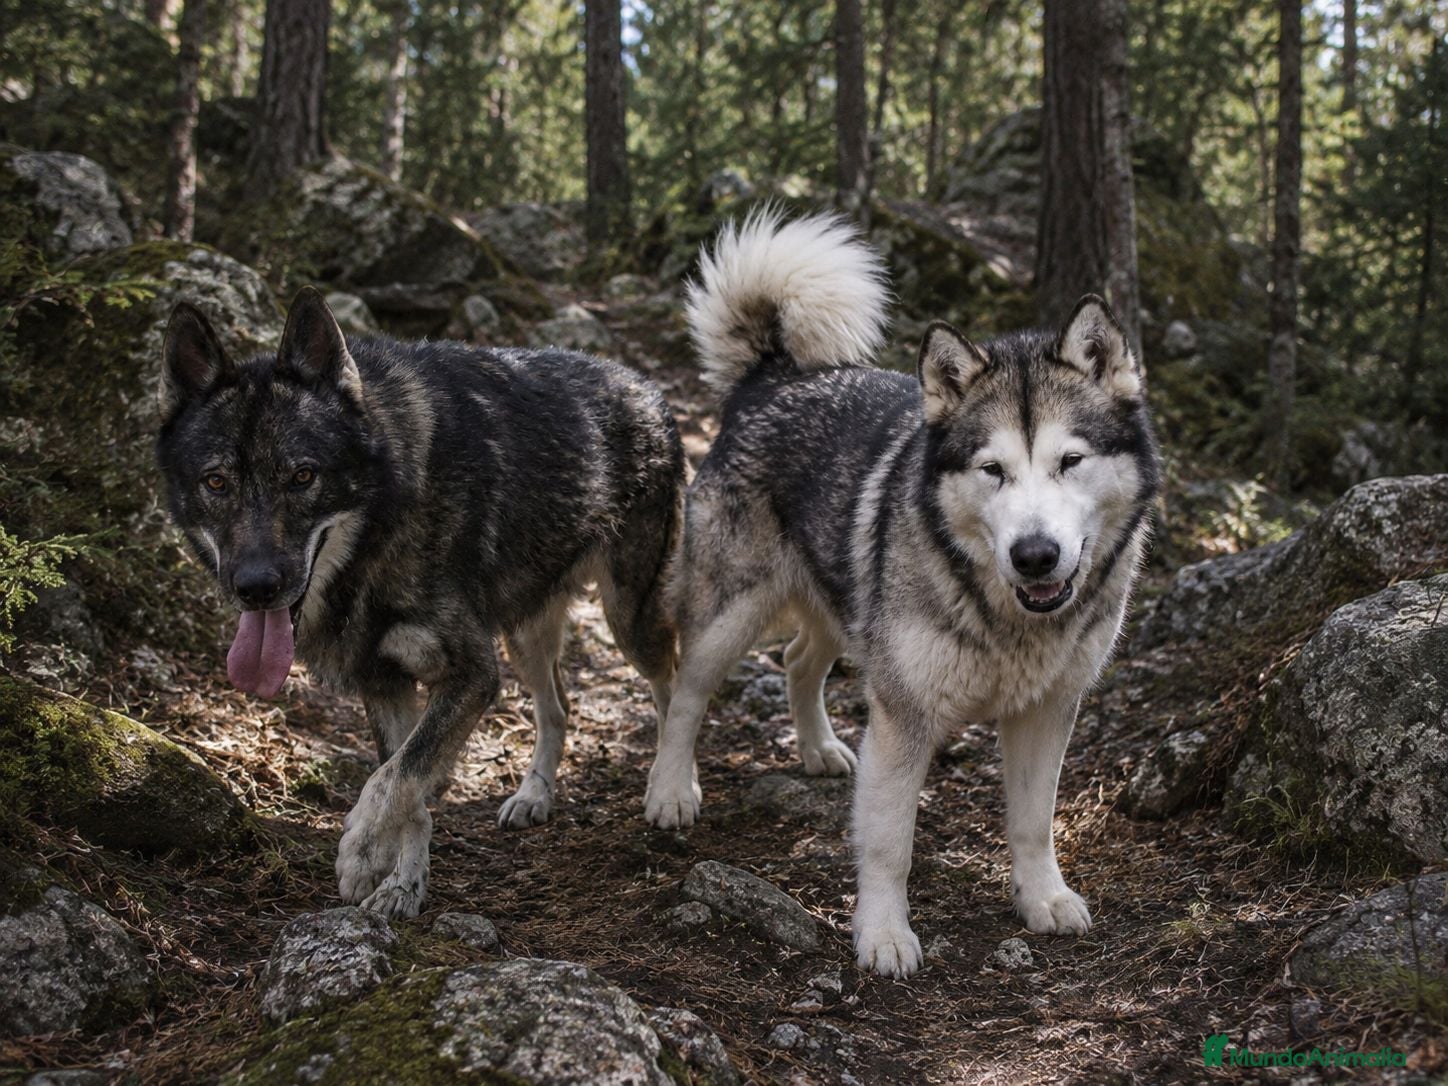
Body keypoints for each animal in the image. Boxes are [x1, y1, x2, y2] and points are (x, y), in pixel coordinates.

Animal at [157, 287, 683, 918]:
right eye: (216, 482)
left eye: (303, 476)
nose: (255, 586)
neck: (388, 517)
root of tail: (642, 383)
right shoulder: (387, 683)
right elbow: (407, 784)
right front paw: (402, 887)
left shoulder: (473, 676)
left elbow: (395, 776)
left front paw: (361, 853)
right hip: (525, 637)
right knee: (558, 706)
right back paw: (533, 795)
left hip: (628, 622)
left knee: (672, 685)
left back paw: (674, 791)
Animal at [643, 211, 1159, 977]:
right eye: (993, 470)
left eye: (1071, 461)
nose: (1035, 555)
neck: (1005, 616)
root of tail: (771, 376)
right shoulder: (904, 717)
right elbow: (890, 842)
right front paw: (883, 934)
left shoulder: (1046, 711)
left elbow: (1033, 821)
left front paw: (1042, 897)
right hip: (731, 616)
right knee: (686, 693)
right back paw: (671, 790)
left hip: (842, 611)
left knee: (798, 662)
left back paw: (818, 749)